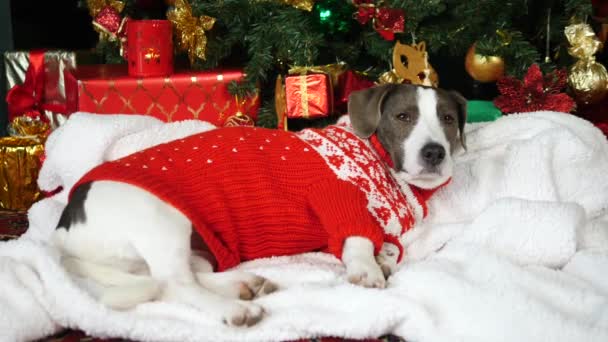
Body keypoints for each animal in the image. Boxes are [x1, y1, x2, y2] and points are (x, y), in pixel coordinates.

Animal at [52, 83, 466, 326]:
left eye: (448, 119)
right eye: (403, 117)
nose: (435, 153)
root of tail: (66, 226)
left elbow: (385, 247)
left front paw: (383, 258)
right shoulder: (333, 197)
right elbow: (358, 241)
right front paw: (367, 268)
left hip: (191, 244)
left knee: (181, 276)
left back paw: (243, 284)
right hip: (163, 219)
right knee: (174, 283)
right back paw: (234, 309)